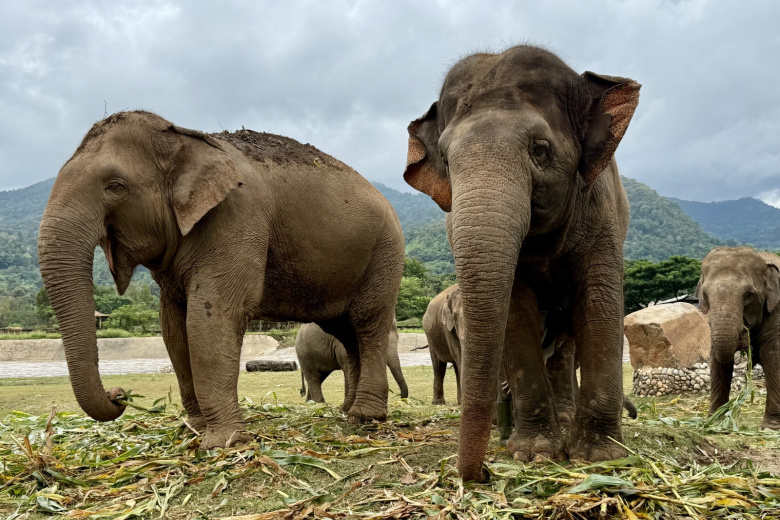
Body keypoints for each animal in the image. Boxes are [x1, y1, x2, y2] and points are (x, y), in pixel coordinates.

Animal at [38, 111, 405, 449]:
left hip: (385, 253)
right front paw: (195, 430)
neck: (185, 136)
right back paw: (347, 411)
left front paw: (224, 442)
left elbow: (214, 315)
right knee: (346, 331)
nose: (120, 394)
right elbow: (173, 326)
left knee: (367, 322)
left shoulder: (237, 217)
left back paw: (365, 417)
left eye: (115, 186)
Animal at [404, 45, 640, 480]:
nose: (480, 474)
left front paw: (600, 457)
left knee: (564, 348)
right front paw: (533, 454)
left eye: (540, 150)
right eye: (445, 159)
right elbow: (515, 313)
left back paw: (567, 420)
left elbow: (599, 303)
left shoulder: (602, 213)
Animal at [695, 246, 780, 429]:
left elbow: (772, 357)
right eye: (705, 294)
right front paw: (715, 421)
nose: (744, 336)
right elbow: (718, 360)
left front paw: (770, 428)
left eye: (749, 295)